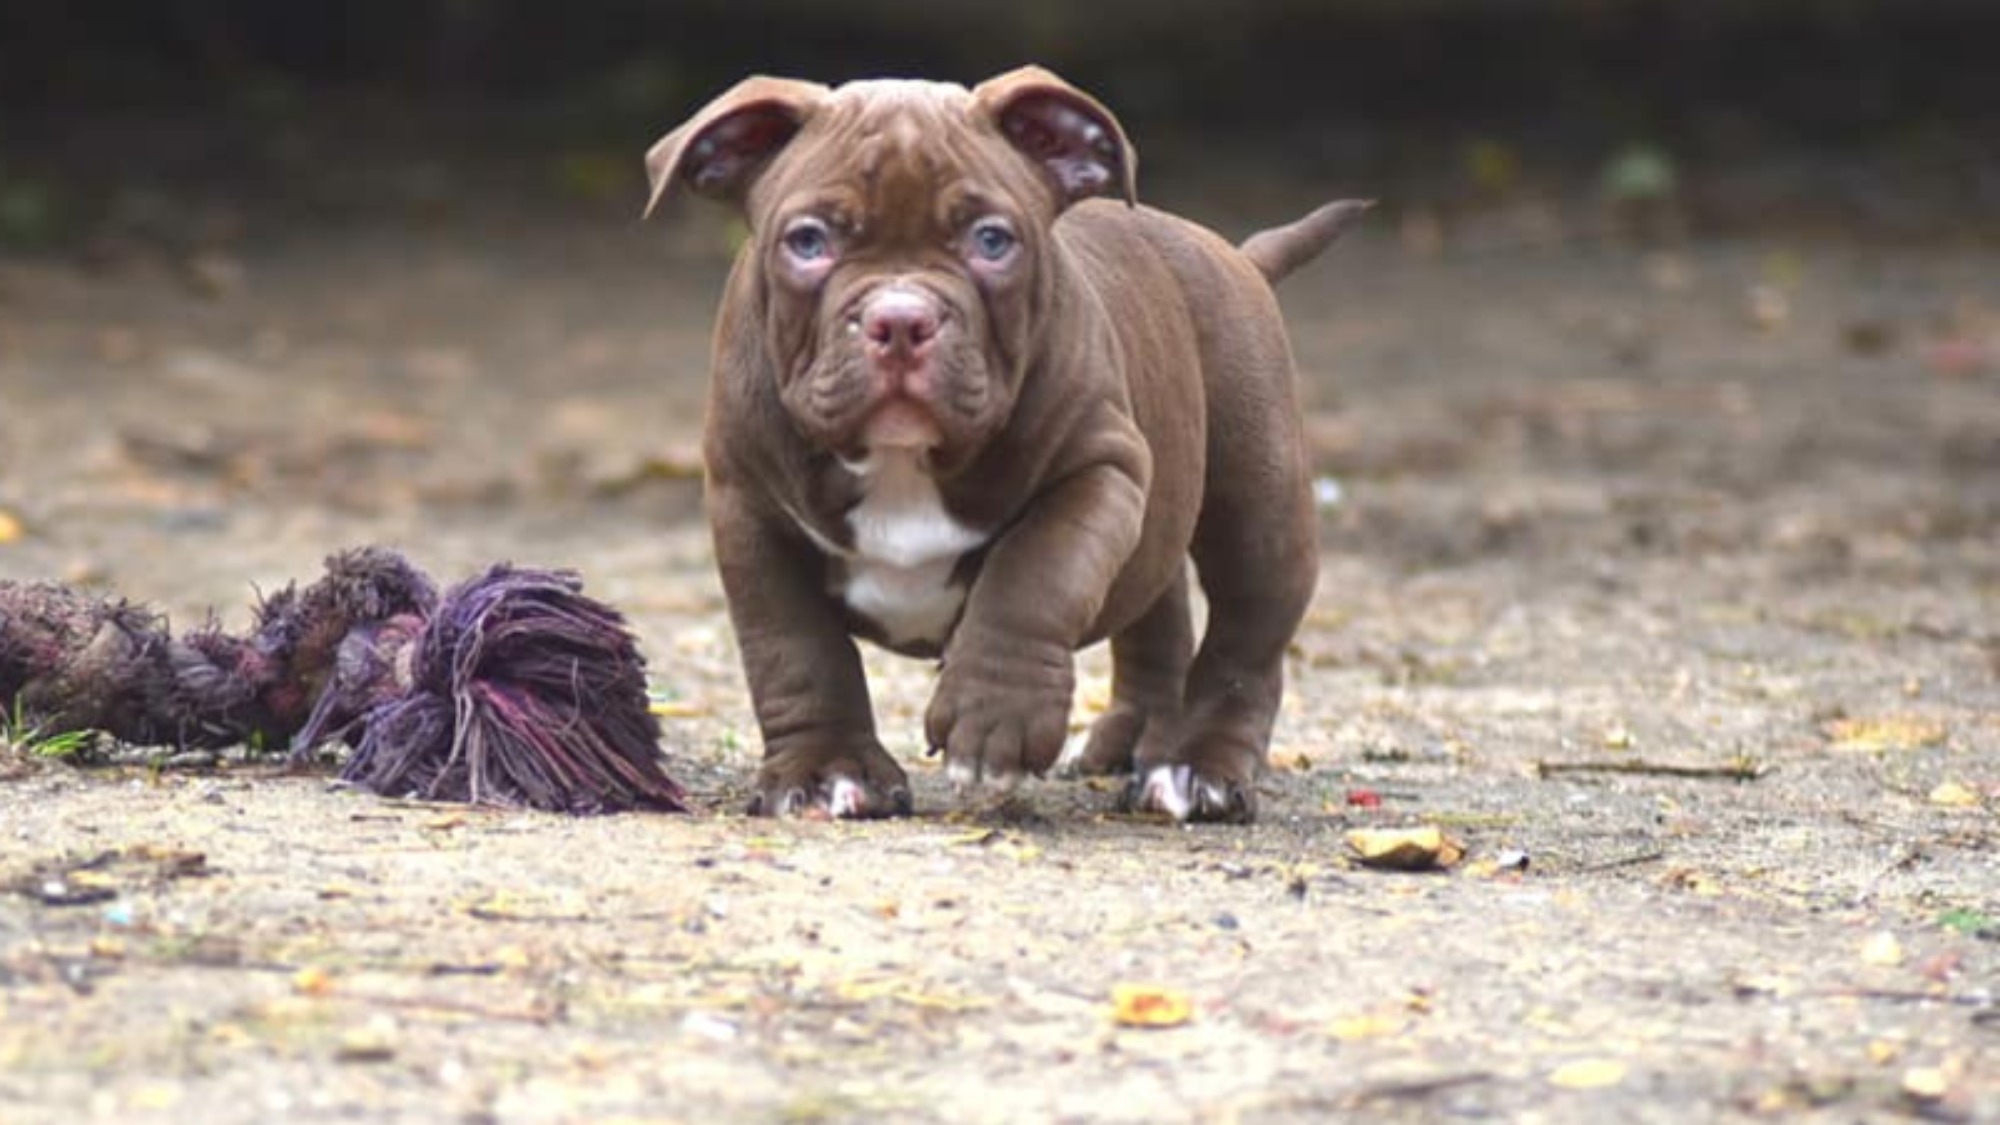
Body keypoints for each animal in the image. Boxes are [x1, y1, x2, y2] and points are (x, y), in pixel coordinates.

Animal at [648, 72, 1368, 824]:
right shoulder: (749, 508)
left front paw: (995, 718)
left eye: (992, 241)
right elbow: (795, 649)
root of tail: (1235, 254)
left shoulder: (1098, 470)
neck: (904, 461)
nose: (900, 318)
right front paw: (825, 771)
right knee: (1157, 605)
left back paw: (1198, 768)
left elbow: (1035, 576)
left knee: (1246, 636)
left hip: (1258, 495)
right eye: (808, 241)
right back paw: (1133, 739)